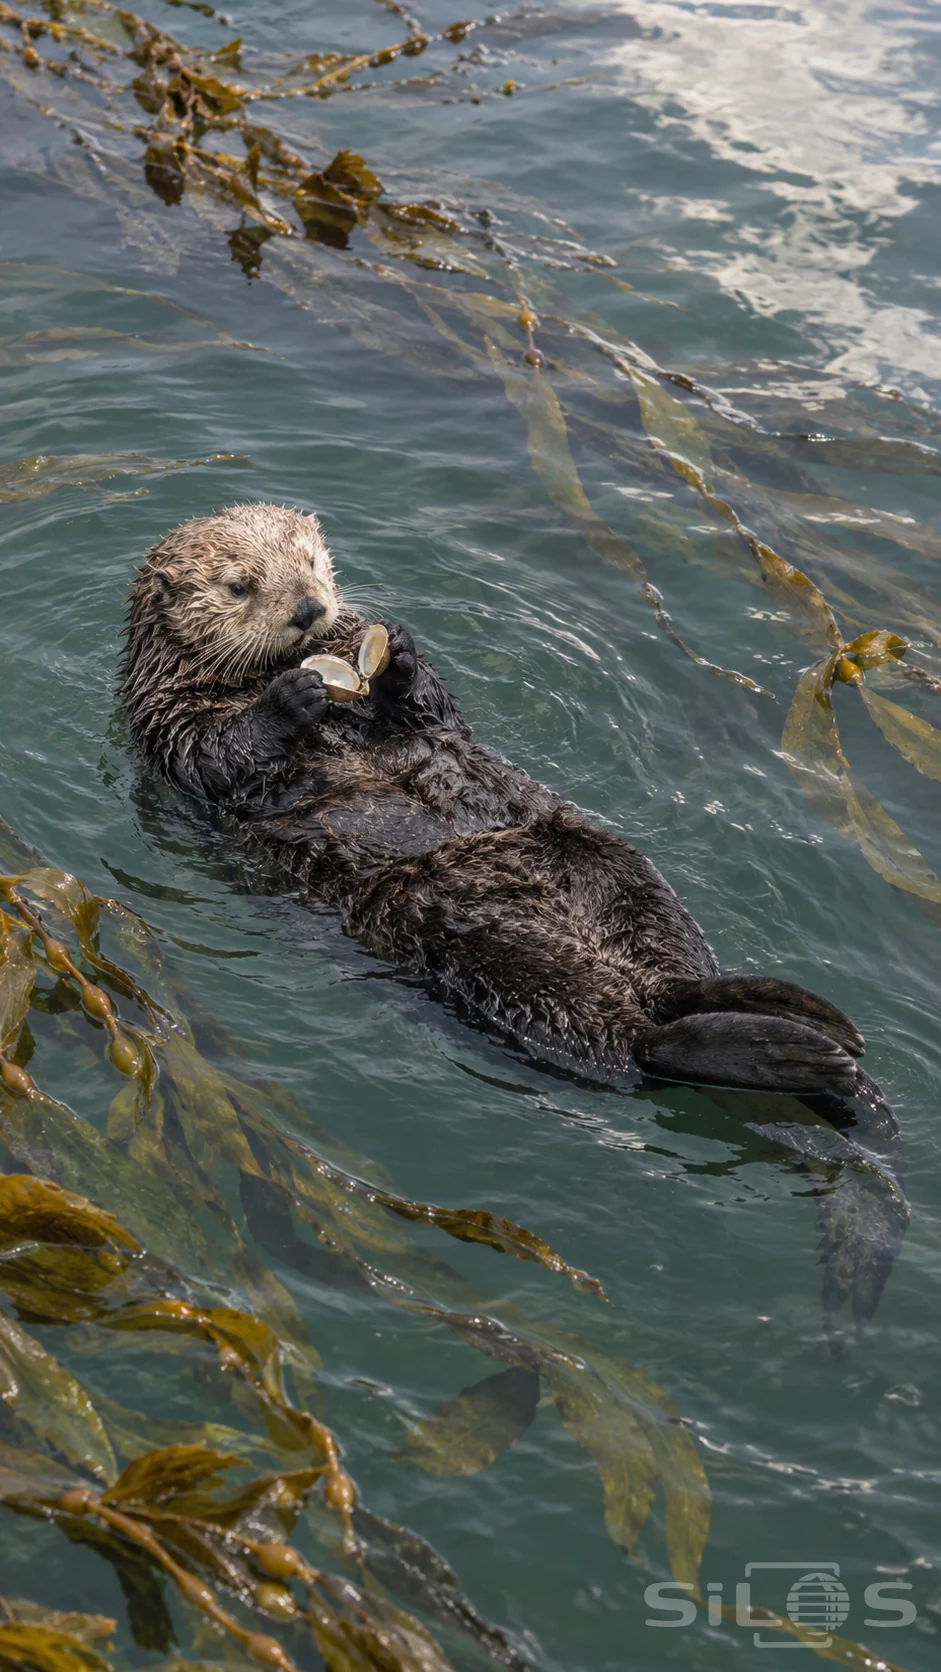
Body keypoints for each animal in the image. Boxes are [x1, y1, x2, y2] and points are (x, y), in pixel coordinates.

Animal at [122, 501, 872, 1099]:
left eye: (308, 561)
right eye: (239, 586)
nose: (309, 609)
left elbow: (432, 708)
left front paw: (397, 655)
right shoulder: (168, 722)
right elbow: (219, 755)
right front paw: (290, 700)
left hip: (607, 862)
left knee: (665, 973)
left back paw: (794, 1014)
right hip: (465, 934)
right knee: (621, 1034)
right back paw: (794, 1049)